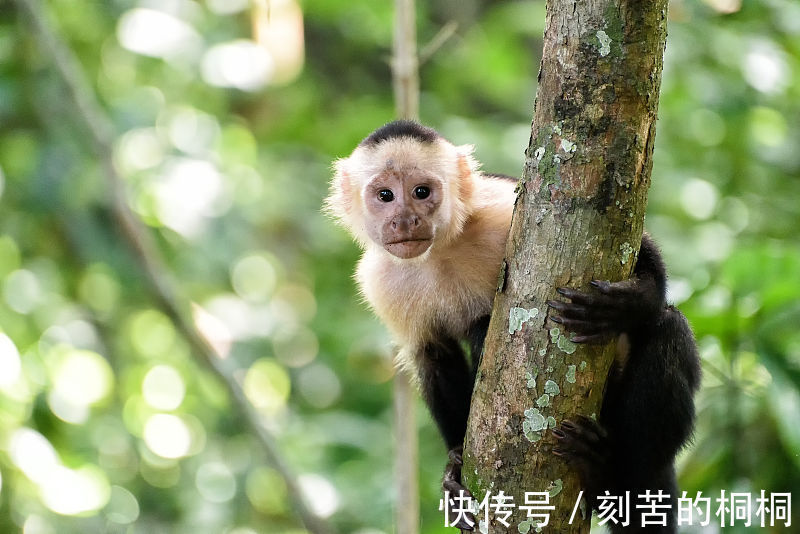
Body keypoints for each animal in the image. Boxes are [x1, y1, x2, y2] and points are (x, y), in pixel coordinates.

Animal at [324, 121, 700, 534]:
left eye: (421, 192)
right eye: (385, 195)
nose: (405, 220)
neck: (439, 252)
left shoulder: (500, 209)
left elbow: (639, 247)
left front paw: (630, 301)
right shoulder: (379, 281)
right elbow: (433, 356)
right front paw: (454, 467)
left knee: (668, 330)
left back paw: (611, 475)